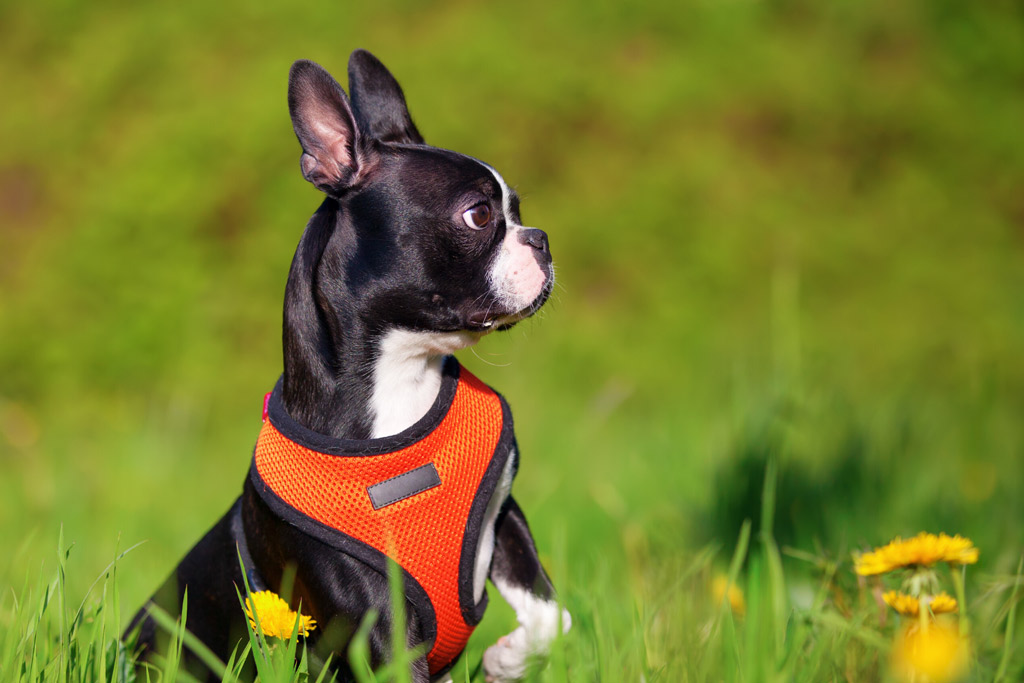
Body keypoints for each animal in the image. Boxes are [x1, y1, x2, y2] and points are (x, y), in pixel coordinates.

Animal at [125, 50, 569, 679]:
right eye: (480, 215)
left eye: (518, 211)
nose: (542, 238)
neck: (404, 378)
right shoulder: (377, 625)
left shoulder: (504, 516)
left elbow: (551, 616)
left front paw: (509, 659)